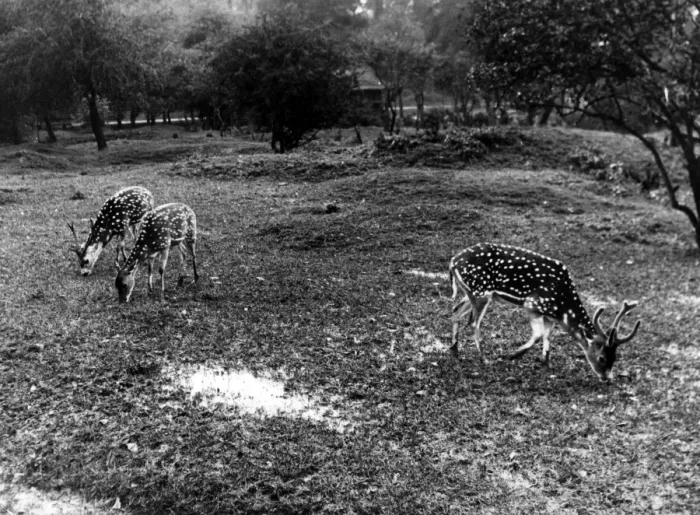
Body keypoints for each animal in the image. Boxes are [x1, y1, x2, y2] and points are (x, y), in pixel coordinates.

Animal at [449, 243, 640, 381]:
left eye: (615, 358)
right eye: (602, 358)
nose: (607, 378)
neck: (561, 309)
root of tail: (453, 262)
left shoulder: (549, 316)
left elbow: (548, 336)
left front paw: (546, 362)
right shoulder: (532, 304)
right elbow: (538, 334)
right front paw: (512, 355)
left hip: (471, 293)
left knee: (455, 311)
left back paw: (455, 351)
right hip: (481, 292)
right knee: (474, 323)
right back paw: (483, 358)